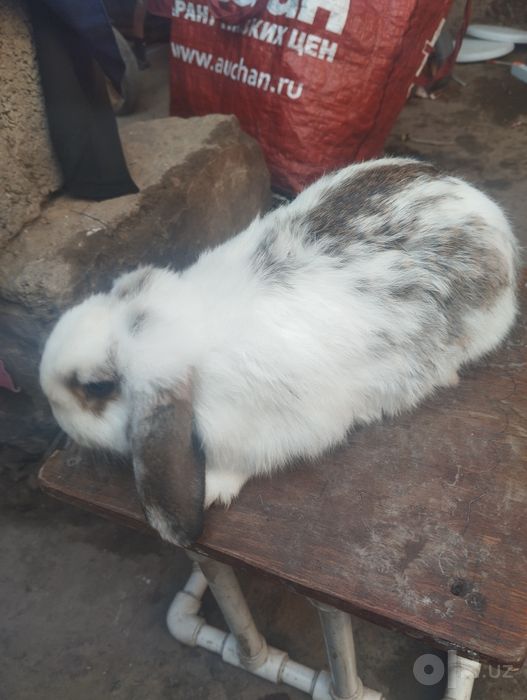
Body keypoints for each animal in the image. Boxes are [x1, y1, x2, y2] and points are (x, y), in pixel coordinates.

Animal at [40, 157, 519, 546]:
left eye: (97, 387)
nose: (54, 410)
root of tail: (487, 213)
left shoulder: (256, 435)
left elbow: (234, 465)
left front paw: (213, 491)